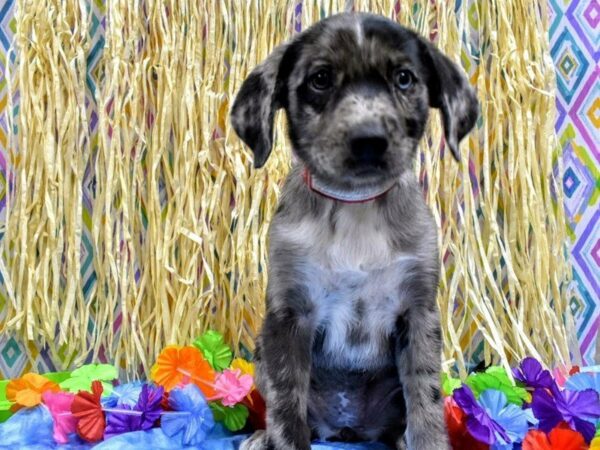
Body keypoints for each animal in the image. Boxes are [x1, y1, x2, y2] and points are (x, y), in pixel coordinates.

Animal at [230, 10, 478, 450]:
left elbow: (426, 402)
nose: (369, 141)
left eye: (404, 78)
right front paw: (280, 438)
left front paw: (427, 440)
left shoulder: (417, 313)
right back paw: (261, 437)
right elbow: (286, 407)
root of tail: (348, 429)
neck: (355, 206)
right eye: (320, 79)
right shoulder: (289, 316)